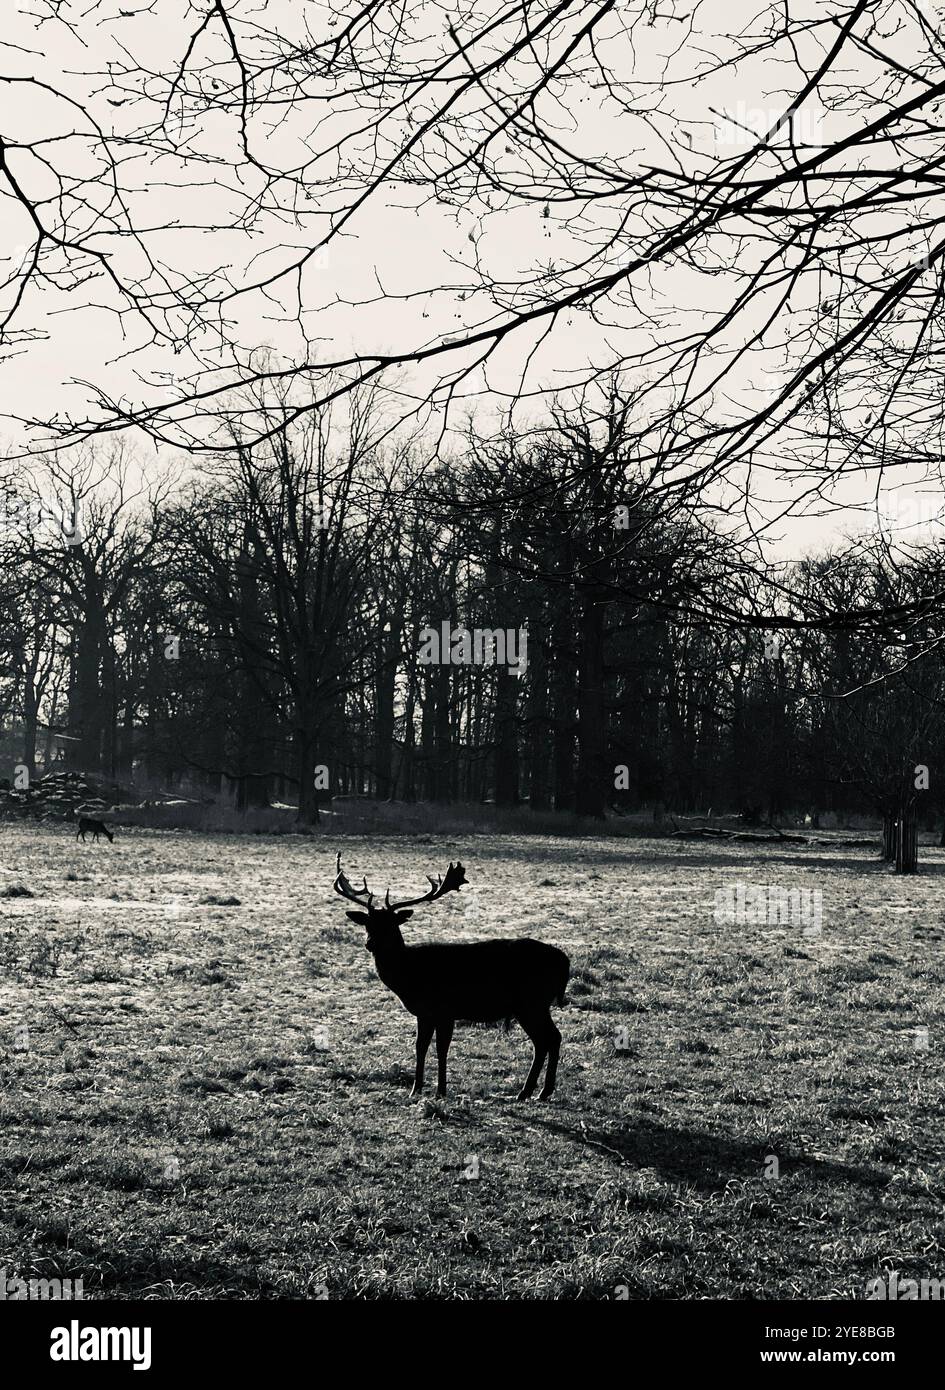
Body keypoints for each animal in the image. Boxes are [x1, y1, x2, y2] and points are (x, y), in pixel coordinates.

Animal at [333, 850, 569, 1100]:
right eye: (368, 924)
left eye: (390, 924)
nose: (370, 943)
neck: (409, 974)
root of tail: (565, 961)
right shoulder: (424, 1013)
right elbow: (420, 1046)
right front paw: (416, 1089)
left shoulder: (445, 1010)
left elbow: (442, 1049)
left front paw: (441, 1091)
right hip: (532, 1005)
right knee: (546, 1040)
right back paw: (532, 1091)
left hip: (532, 1002)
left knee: (551, 1038)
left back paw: (538, 1091)